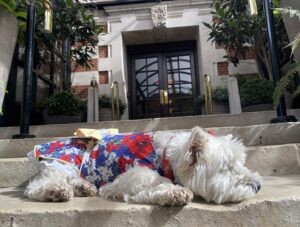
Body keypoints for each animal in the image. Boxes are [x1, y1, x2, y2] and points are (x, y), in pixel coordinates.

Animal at [24, 127, 262, 205]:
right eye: (226, 168)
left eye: (240, 163)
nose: (258, 186)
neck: (166, 154)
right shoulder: (131, 174)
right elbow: (155, 180)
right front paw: (174, 192)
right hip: (64, 165)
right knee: (37, 186)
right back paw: (56, 191)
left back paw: (85, 187)